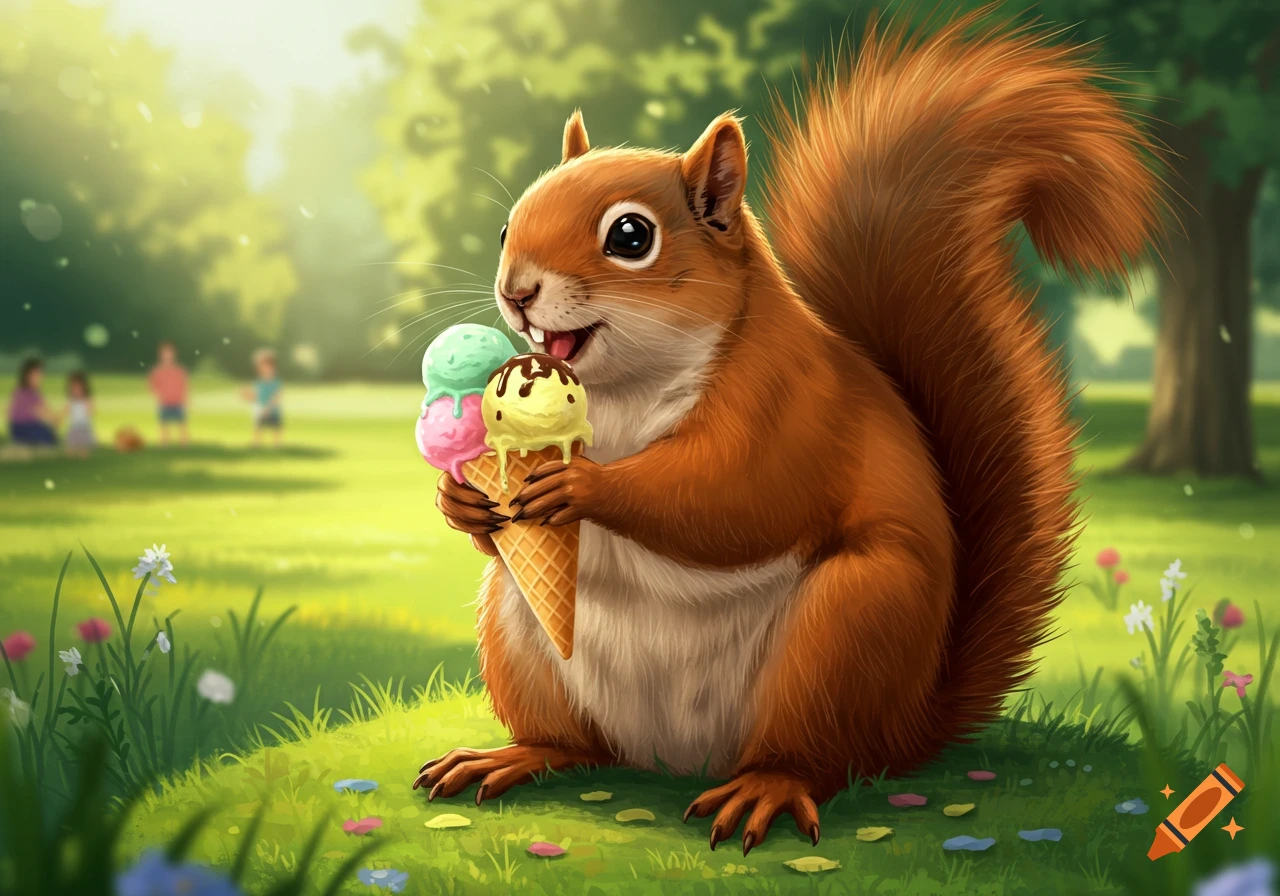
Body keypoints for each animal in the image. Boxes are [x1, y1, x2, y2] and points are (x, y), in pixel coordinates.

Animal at [414, 14, 1161, 854]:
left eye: (631, 236)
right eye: (507, 224)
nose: (515, 291)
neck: (619, 394)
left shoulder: (794, 409)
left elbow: (735, 497)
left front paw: (582, 483)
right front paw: (460, 501)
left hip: (848, 625)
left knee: (814, 755)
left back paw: (766, 788)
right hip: (521, 635)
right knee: (576, 742)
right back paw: (516, 755)